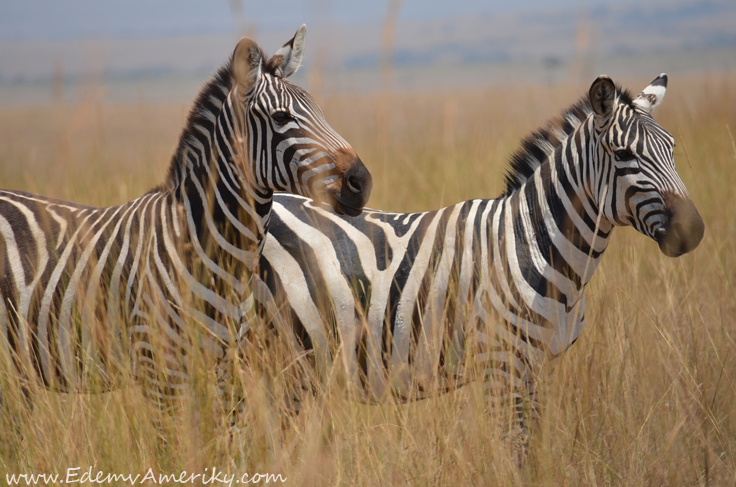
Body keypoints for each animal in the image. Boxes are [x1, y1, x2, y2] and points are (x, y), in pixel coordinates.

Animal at [253, 75, 700, 434]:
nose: (693, 231)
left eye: (672, 148)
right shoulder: (502, 365)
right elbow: (517, 451)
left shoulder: (537, 368)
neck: (534, 244)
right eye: (624, 155)